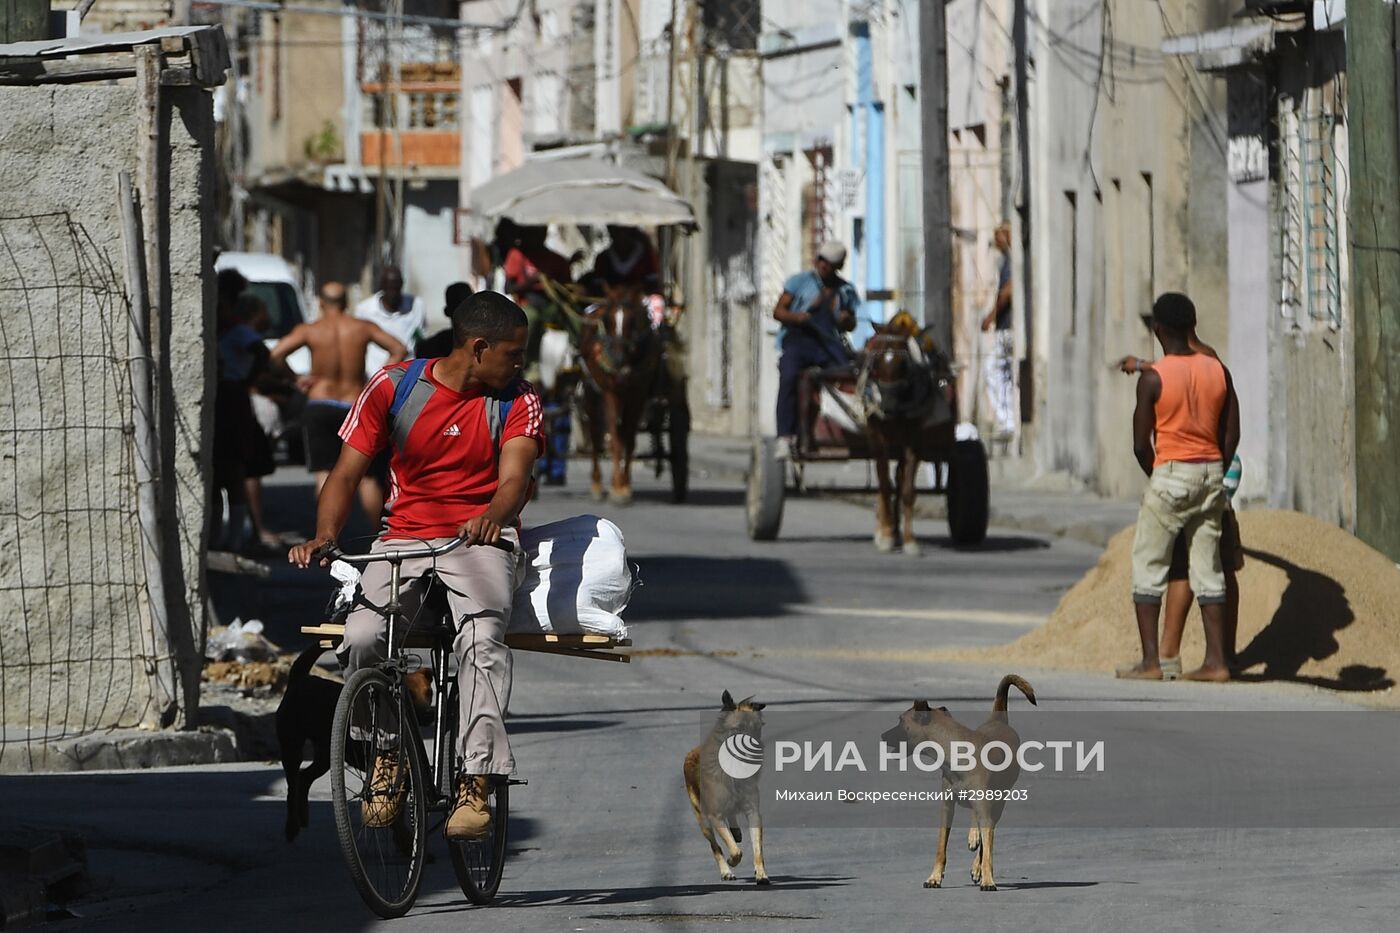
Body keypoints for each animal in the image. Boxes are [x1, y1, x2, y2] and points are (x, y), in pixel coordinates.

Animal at [574, 282, 660, 501]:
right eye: (607, 320)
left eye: (633, 320)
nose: (617, 360)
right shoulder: (610, 393)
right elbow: (613, 438)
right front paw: (616, 486)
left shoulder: (638, 395)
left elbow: (628, 438)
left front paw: (624, 485)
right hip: (591, 393)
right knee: (596, 433)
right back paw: (597, 483)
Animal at [683, 686, 772, 885]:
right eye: (738, 729)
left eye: (757, 729)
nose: (756, 749)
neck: (734, 766)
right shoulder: (715, 816)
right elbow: (734, 849)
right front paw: (732, 860)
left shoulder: (753, 812)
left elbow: (757, 849)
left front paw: (761, 873)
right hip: (703, 820)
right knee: (715, 847)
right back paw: (726, 870)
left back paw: (736, 831)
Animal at [856, 312, 957, 551]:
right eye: (875, 362)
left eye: (904, 364)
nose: (888, 406)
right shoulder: (878, 437)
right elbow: (884, 485)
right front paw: (885, 536)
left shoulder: (914, 439)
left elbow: (907, 490)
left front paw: (910, 540)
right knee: (886, 481)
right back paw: (885, 529)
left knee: (900, 478)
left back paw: (895, 529)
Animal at [879, 669, 1036, 885]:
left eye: (900, 720)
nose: (882, 736)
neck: (955, 750)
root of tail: (998, 721)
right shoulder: (947, 807)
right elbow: (941, 847)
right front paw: (935, 876)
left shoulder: (987, 808)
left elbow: (987, 848)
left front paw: (986, 876)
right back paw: (974, 838)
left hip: (998, 803)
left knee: (986, 835)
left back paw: (978, 865)